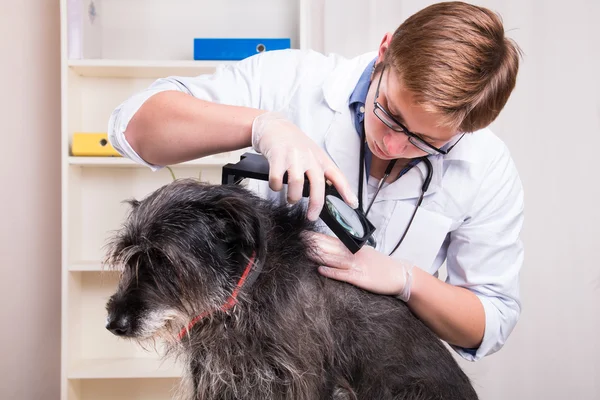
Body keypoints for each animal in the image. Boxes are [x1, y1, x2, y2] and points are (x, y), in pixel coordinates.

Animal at [103, 180, 478, 398]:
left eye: (164, 260)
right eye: (130, 258)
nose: (114, 324)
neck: (245, 294)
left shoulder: (300, 380)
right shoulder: (218, 377)